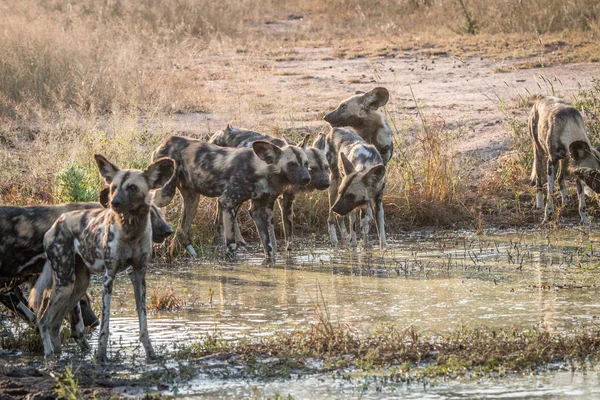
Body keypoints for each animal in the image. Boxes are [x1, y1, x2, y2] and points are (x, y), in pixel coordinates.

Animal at [152, 134, 312, 260]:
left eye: (306, 164)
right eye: (292, 164)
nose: (307, 179)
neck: (261, 169)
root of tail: (167, 139)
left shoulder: (258, 211)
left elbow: (269, 248)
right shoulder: (227, 202)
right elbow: (232, 246)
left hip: (193, 198)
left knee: (183, 230)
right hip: (165, 195)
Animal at [528, 95, 596, 223]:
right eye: (593, 174)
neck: (569, 126)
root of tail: (541, 97)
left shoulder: (576, 167)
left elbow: (581, 195)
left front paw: (585, 218)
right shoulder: (551, 162)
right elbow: (550, 191)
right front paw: (548, 216)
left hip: (565, 159)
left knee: (560, 178)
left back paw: (566, 200)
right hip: (539, 155)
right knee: (539, 182)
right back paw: (539, 205)